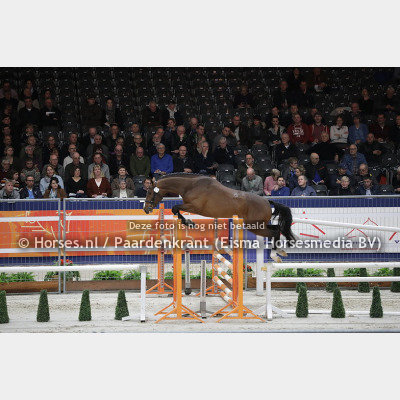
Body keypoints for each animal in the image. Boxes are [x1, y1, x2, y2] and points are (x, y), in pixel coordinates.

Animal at [143, 173, 295, 261]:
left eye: (150, 192)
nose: (146, 208)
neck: (190, 186)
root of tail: (266, 201)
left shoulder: (193, 206)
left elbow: (175, 208)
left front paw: (189, 222)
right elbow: (176, 210)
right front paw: (189, 222)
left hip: (254, 226)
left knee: (274, 232)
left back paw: (275, 255)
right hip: (258, 224)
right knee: (276, 229)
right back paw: (281, 252)